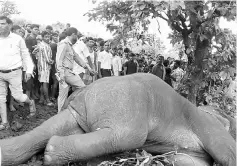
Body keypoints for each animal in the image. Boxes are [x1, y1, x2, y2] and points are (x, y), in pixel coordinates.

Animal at [0, 73, 235, 166]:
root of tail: (85, 89)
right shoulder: (210, 126)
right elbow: (228, 153)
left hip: (87, 109)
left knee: (56, 126)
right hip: (129, 103)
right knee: (127, 137)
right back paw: (52, 152)